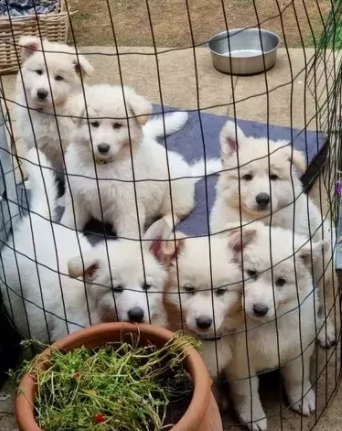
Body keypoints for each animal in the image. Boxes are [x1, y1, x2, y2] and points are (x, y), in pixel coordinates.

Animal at [60, 84, 219, 240]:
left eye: (117, 126)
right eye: (94, 124)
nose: (103, 148)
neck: (102, 164)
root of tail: (191, 175)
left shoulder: (128, 206)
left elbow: (129, 235)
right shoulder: (76, 198)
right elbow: (69, 222)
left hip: (174, 193)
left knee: (174, 215)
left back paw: (158, 226)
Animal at [212, 120, 336, 348]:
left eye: (274, 177)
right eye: (247, 177)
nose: (263, 198)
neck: (258, 220)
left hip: (323, 262)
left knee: (322, 297)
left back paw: (324, 328)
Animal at [224, 223, 326, 431]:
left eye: (281, 282)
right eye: (251, 273)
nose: (260, 309)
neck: (267, 323)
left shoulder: (298, 346)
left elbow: (297, 376)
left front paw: (302, 397)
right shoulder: (240, 362)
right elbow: (247, 392)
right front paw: (253, 416)